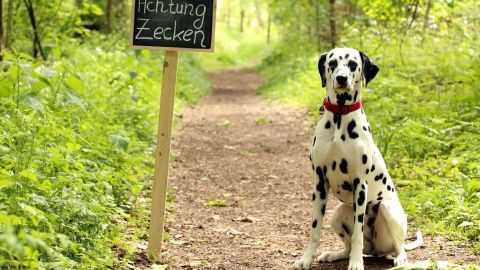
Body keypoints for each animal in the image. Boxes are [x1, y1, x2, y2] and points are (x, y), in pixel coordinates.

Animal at [290, 48, 422, 270]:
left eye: (353, 64)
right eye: (332, 63)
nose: (341, 78)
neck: (339, 117)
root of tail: (375, 250)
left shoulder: (360, 184)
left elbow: (358, 233)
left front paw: (356, 263)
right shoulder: (319, 183)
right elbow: (315, 229)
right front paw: (306, 259)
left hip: (387, 210)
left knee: (397, 245)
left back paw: (400, 258)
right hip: (338, 213)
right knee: (348, 244)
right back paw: (336, 254)